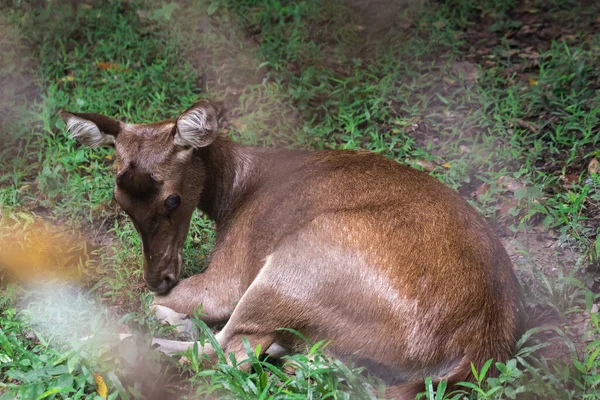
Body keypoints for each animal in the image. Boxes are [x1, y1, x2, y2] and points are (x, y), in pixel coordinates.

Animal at [58, 101, 524, 398]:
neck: (233, 195)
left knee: (227, 354)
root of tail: (482, 345)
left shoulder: (230, 273)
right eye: (120, 201)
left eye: (172, 200)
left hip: (296, 265)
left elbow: (191, 306)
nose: (158, 277)